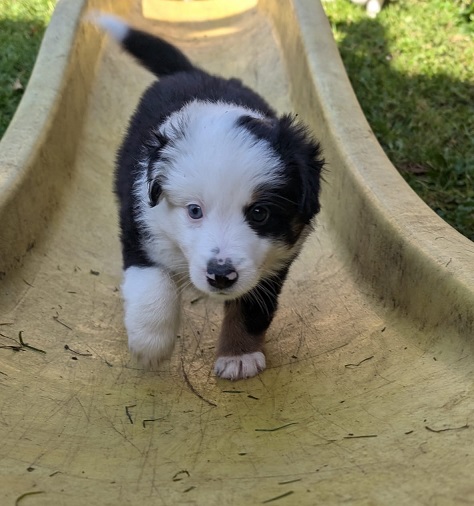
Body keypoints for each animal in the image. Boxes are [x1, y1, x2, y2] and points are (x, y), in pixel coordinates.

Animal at [93, 14, 324, 380]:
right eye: (194, 211)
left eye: (259, 213)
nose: (220, 275)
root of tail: (192, 72)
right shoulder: (140, 223)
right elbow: (152, 283)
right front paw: (150, 344)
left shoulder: (274, 260)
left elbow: (251, 307)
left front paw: (238, 356)